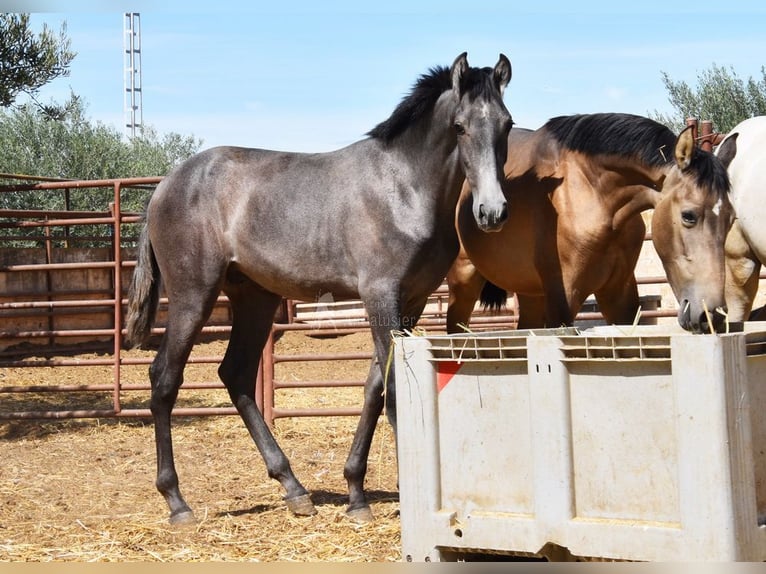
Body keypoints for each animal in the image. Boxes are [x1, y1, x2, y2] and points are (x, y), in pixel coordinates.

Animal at [124, 54, 516, 528]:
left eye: (507, 124)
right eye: (459, 126)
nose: (492, 211)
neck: (403, 187)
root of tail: (164, 187)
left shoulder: (412, 302)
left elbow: (373, 388)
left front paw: (357, 493)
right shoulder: (380, 296)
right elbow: (392, 390)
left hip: (255, 299)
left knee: (235, 374)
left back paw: (294, 489)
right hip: (192, 296)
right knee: (165, 378)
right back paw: (177, 502)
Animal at [450, 112, 736, 336]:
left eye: (731, 219)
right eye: (689, 215)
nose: (712, 315)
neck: (592, 193)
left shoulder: (619, 294)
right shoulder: (563, 299)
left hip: (531, 293)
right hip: (464, 279)